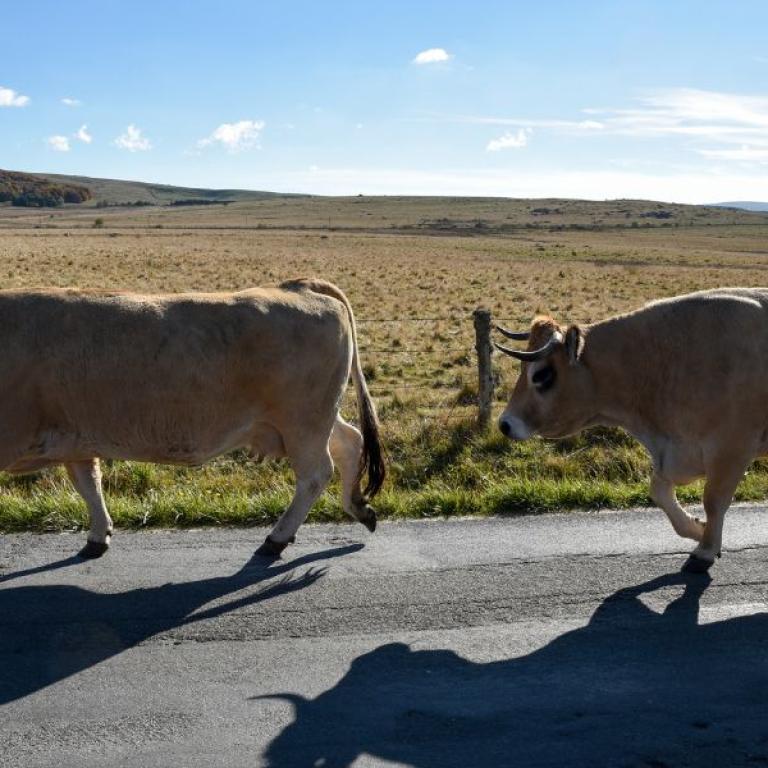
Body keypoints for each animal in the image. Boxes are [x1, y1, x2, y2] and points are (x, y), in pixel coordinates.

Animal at [0, 276, 384, 560]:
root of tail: (298, 285)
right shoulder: (77, 437)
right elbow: (89, 485)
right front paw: (99, 534)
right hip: (312, 417)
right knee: (350, 442)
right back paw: (358, 506)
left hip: (303, 419)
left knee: (315, 473)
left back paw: (277, 538)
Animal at [496, 288, 768, 568]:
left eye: (541, 375)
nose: (505, 424)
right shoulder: (674, 452)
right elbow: (659, 492)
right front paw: (696, 528)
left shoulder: (730, 449)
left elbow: (713, 501)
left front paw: (705, 549)